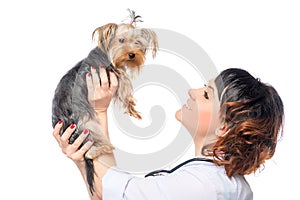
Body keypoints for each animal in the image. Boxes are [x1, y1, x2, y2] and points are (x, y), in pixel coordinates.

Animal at [51, 18, 159, 194]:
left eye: (137, 42)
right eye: (121, 40)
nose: (132, 54)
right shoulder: (114, 73)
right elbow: (124, 87)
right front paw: (131, 106)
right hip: (85, 124)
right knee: (90, 149)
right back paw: (104, 148)